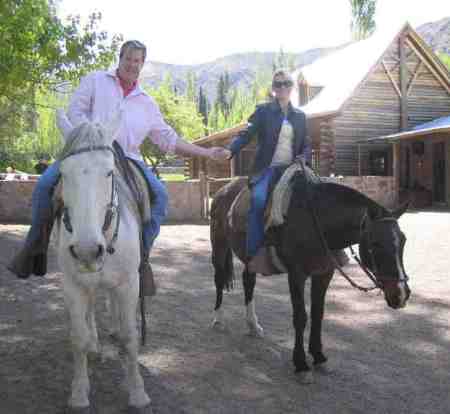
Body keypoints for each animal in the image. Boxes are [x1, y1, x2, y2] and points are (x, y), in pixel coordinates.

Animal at [54, 114, 151, 414]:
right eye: (63, 173)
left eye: (109, 172)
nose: (86, 251)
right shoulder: (73, 285)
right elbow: (78, 338)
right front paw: (79, 393)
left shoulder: (129, 283)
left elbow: (130, 337)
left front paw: (138, 392)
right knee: (90, 313)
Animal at [211, 171, 412, 382]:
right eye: (375, 244)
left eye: (403, 241)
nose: (401, 294)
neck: (316, 222)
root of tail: (223, 190)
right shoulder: (296, 275)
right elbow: (301, 317)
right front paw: (301, 365)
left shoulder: (324, 274)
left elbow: (318, 314)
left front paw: (319, 356)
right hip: (219, 243)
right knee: (219, 279)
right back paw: (218, 319)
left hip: (250, 258)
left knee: (248, 281)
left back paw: (253, 325)